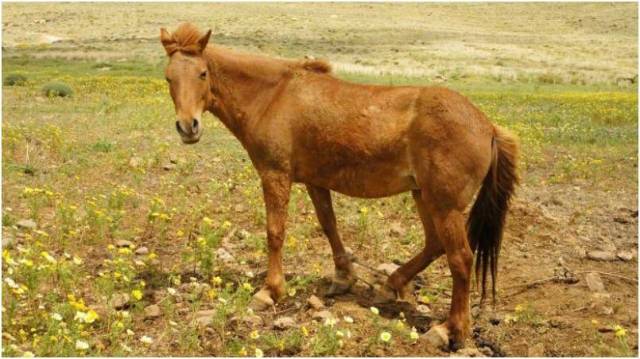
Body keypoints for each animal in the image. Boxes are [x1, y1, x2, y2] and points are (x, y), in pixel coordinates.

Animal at [160, 22, 520, 348]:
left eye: (202, 73)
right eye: (168, 77)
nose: (188, 127)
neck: (272, 97)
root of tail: (488, 127)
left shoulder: (275, 175)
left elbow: (275, 232)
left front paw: (270, 291)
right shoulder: (315, 181)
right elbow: (329, 225)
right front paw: (343, 276)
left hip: (444, 205)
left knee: (460, 259)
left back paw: (449, 330)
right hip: (424, 196)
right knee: (435, 244)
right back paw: (393, 284)